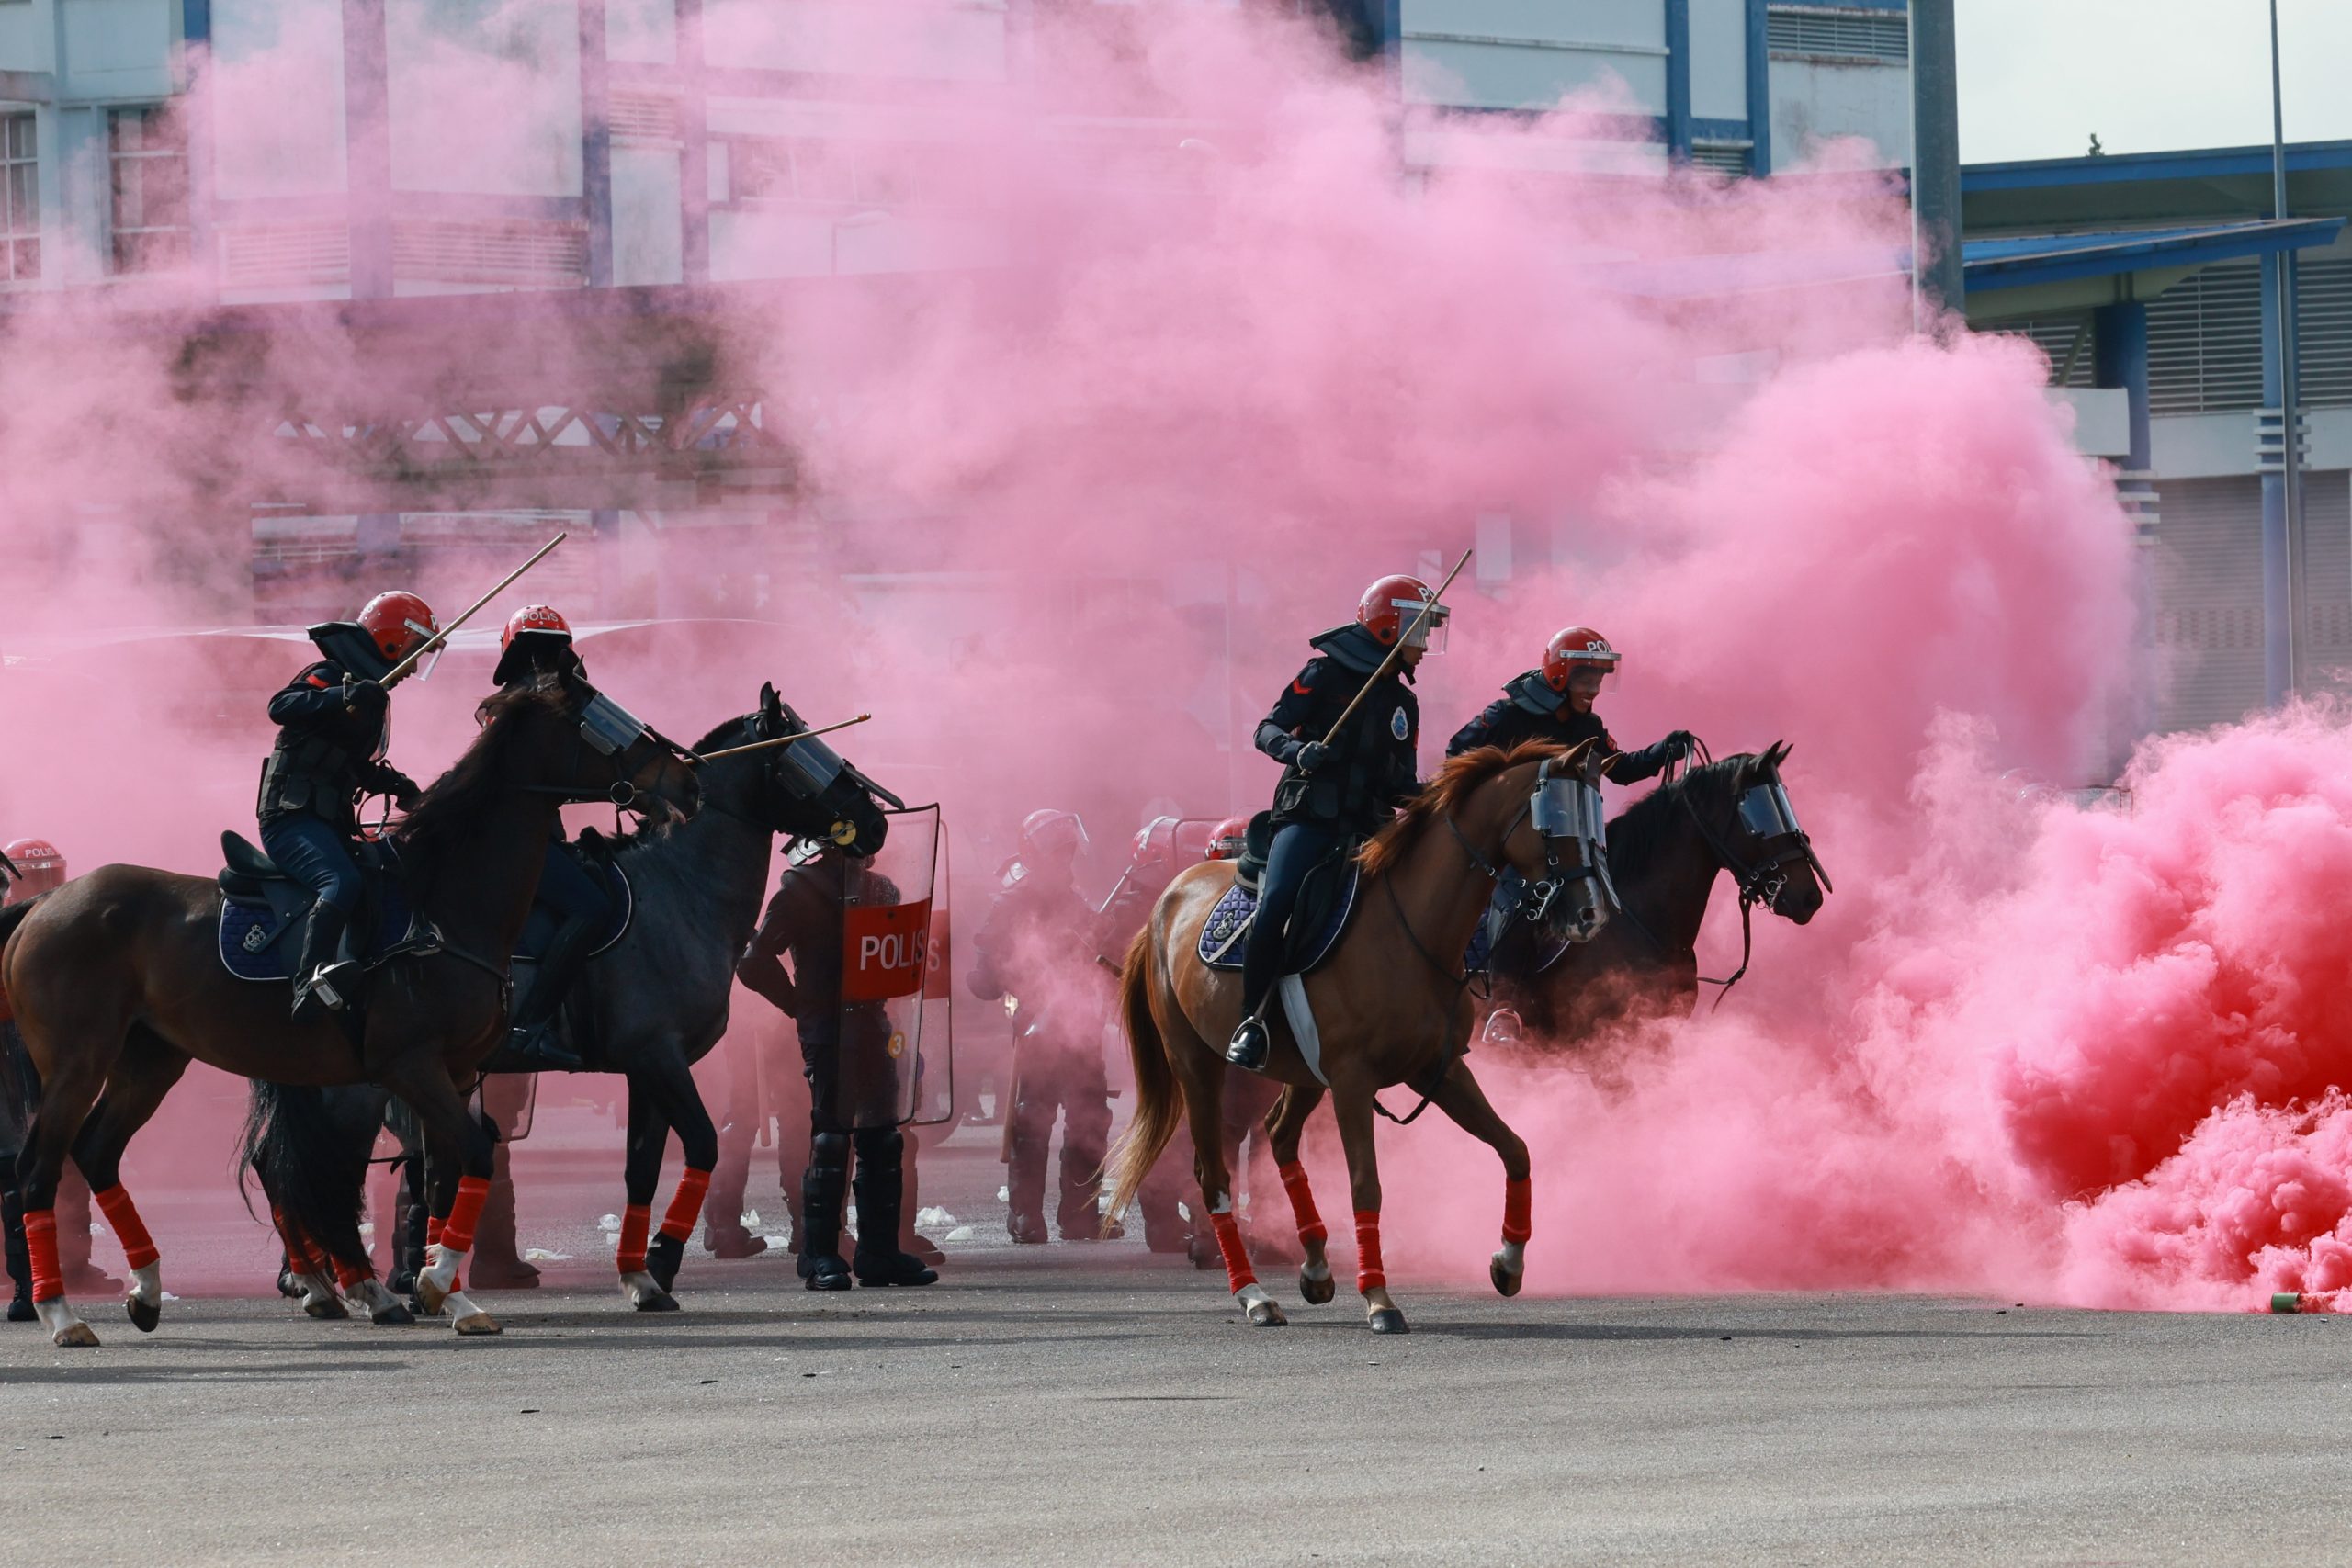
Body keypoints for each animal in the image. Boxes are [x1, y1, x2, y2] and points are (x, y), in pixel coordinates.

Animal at [0, 677, 695, 1354]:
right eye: (600, 721)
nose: (686, 778)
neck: (443, 902)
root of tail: (44, 905)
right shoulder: (410, 1066)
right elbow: (472, 1155)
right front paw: (433, 1281)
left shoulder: (453, 1073)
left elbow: (443, 1179)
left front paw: (453, 1295)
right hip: (78, 1064)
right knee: (36, 1171)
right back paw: (60, 1313)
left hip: (150, 1061)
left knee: (97, 1153)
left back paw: (146, 1292)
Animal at [248, 682, 888, 1316]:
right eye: (806, 752)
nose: (875, 821)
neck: (682, 889)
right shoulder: (659, 1057)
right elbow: (703, 1145)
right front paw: (661, 1260)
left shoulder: (646, 1070)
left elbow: (641, 1170)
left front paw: (641, 1277)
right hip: (354, 1088)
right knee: (311, 1170)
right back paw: (347, 1284)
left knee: (285, 1166)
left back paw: (321, 1281)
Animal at [1101, 742, 1618, 1335]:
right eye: (1554, 821)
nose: (1591, 913)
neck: (1411, 927)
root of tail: (1167, 898)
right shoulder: (1352, 1082)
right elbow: (1365, 1183)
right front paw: (1378, 1298)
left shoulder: (1440, 1071)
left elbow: (1516, 1149)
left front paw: (1508, 1263)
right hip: (1197, 1065)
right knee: (1214, 1176)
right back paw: (1254, 1295)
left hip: (1302, 1073)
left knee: (1279, 1135)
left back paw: (1315, 1267)